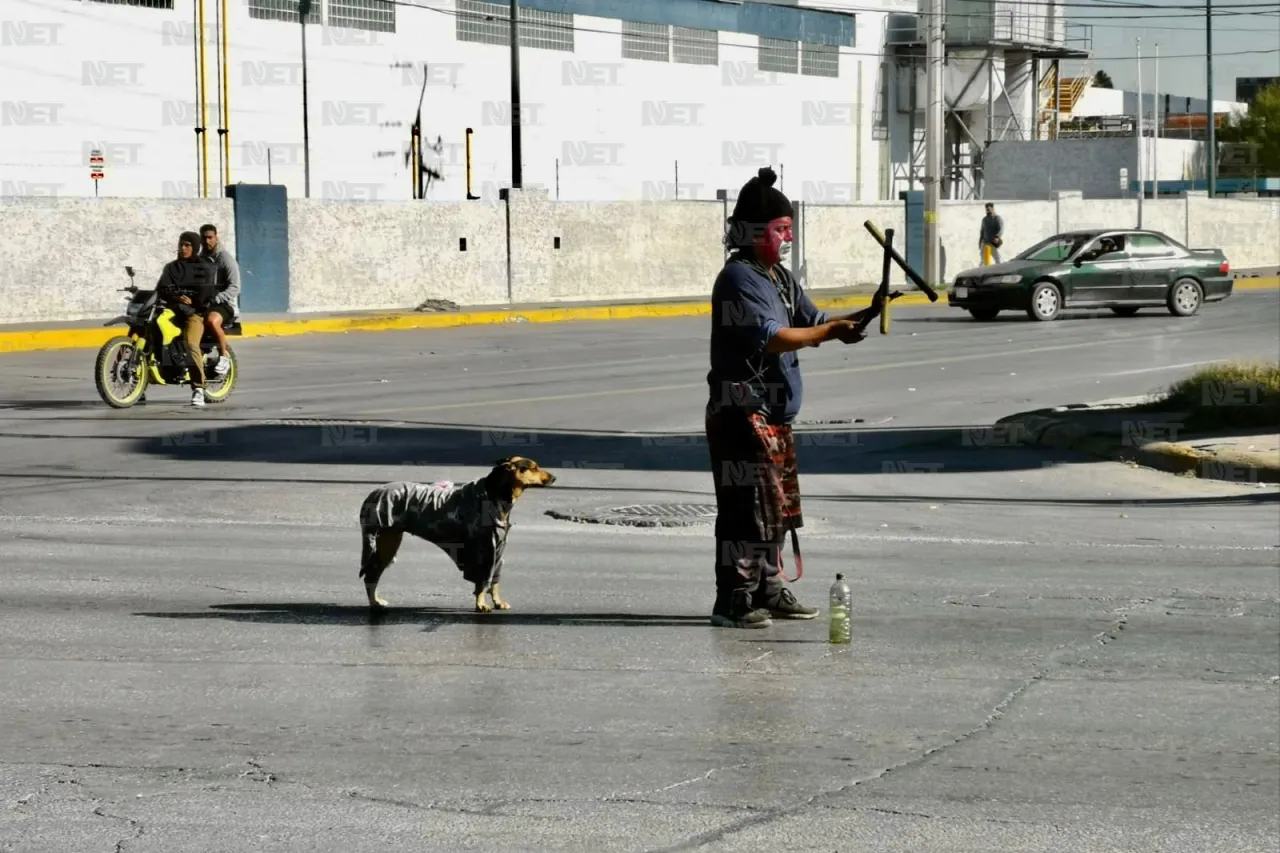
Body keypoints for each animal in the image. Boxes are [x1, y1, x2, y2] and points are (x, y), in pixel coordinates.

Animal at [360, 458, 560, 612]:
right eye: (534, 467)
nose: (555, 477)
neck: (495, 495)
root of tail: (376, 491)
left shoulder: (498, 550)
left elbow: (494, 581)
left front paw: (497, 602)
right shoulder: (484, 551)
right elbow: (481, 583)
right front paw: (480, 604)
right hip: (387, 542)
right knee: (371, 574)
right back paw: (374, 603)